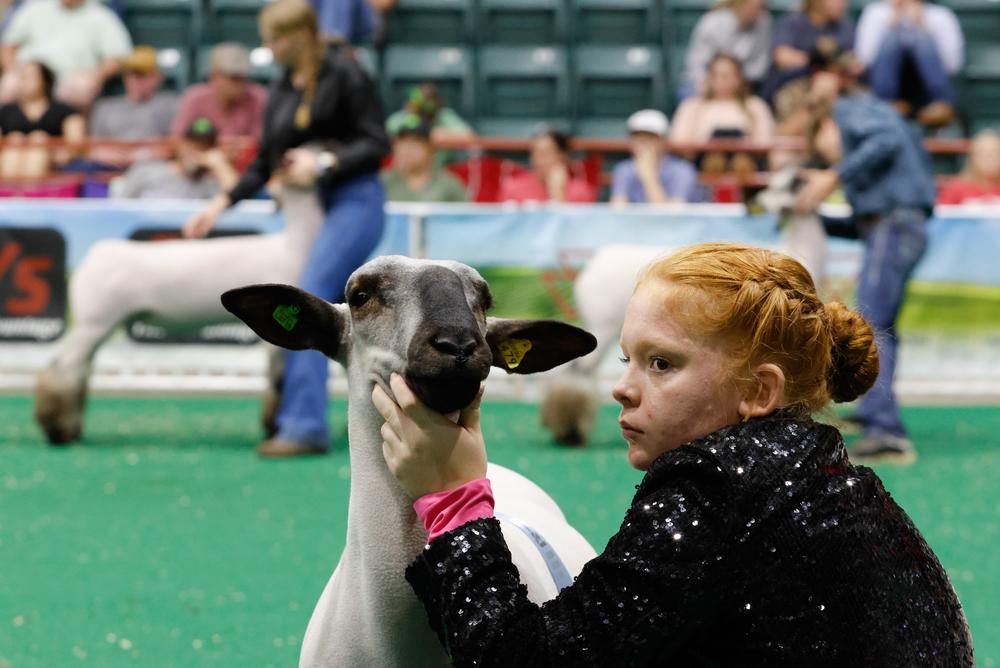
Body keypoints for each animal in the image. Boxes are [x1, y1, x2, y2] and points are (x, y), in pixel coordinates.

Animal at [34, 185, 324, 444]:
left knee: (80, 370)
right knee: (62, 369)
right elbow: (278, 379)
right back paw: (57, 431)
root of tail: (96, 256)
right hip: (93, 323)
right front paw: (273, 428)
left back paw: (72, 429)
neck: (293, 245)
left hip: (97, 326)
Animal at [540, 166, 828, 448]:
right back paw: (571, 432)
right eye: (781, 185)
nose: (798, 185)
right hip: (604, 323)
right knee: (580, 372)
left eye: (794, 182)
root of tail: (593, 265)